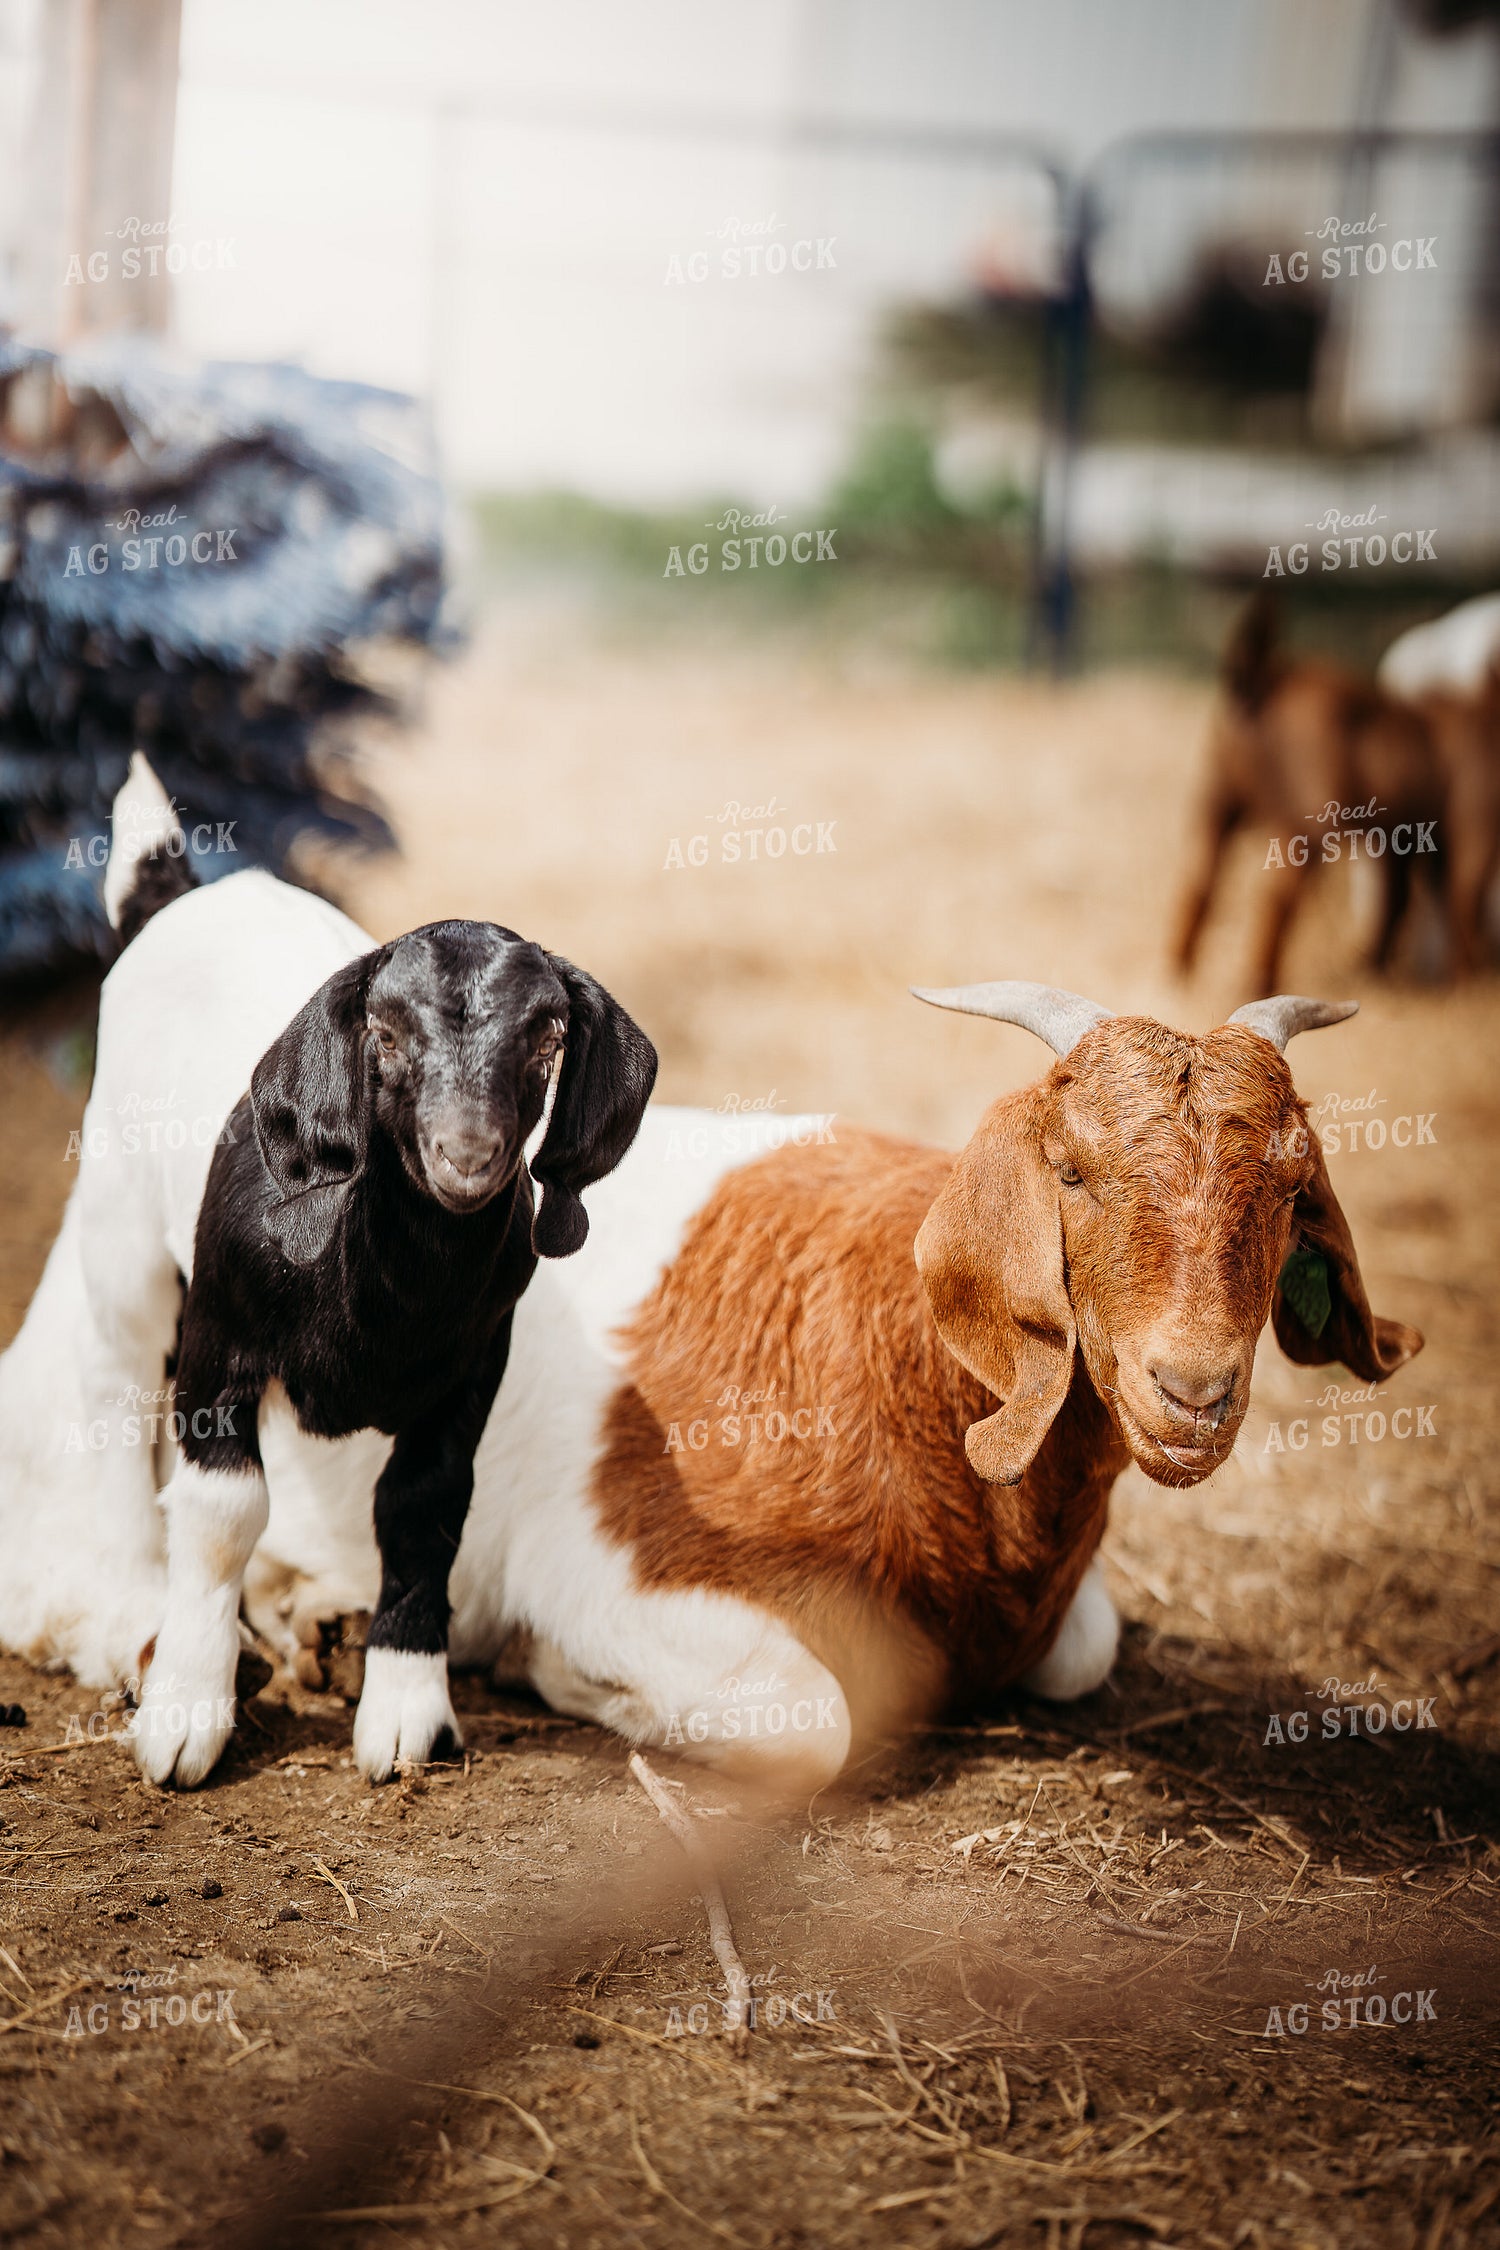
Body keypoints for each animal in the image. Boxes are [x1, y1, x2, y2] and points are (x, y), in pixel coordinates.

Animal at [15, 756, 655, 1788]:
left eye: (548, 1036)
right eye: (385, 1035)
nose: (467, 1156)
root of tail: (185, 894)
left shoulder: (473, 1368)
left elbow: (425, 1506)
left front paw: (404, 1708)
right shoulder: (222, 1335)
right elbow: (226, 1508)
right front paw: (187, 1711)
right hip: (120, 1217)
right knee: (113, 1384)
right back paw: (132, 1598)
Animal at [1174, 595, 1444, 993]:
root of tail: (1259, 682)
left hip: (1216, 790)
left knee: (1200, 872)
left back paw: (1180, 971)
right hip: (1310, 813)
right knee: (1282, 893)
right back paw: (1266, 981)